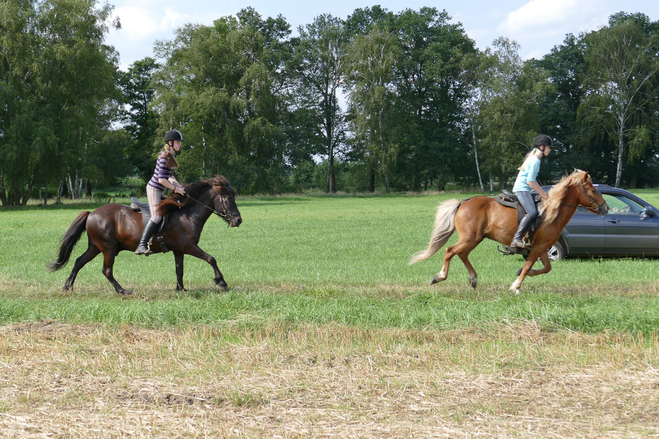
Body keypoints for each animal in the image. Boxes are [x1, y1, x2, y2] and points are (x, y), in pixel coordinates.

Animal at [50, 175, 242, 296]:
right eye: (227, 198)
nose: (238, 220)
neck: (187, 214)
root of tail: (91, 214)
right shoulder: (189, 247)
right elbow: (211, 259)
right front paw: (221, 282)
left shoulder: (179, 250)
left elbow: (179, 269)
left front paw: (181, 289)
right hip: (108, 249)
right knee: (107, 270)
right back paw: (122, 291)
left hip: (95, 247)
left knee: (79, 262)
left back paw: (67, 286)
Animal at [412, 170, 608, 294]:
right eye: (592, 190)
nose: (605, 207)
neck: (554, 211)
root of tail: (462, 203)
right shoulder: (538, 248)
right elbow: (531, 266)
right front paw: (516, 286)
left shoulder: (542, 247)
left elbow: (545, 268)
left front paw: (520, 274)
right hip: (470, 238)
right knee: (450, 251)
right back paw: (440, 276)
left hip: (475, 239)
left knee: (462, 254)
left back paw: (473, 279)